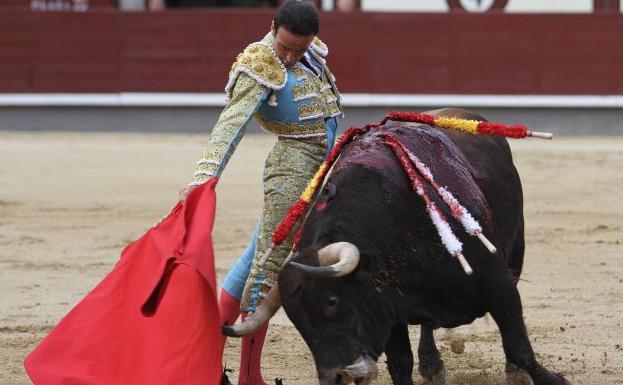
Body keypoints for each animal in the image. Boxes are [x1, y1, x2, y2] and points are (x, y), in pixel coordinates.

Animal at [228, 108, 572, 384]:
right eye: (296, 319)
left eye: (331, 300)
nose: (336, 376)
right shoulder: (387, 305)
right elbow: (400, 363)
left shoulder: (498, 282)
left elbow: (518, 343)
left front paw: (547, 378)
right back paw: (432, 365)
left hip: (516, 251)